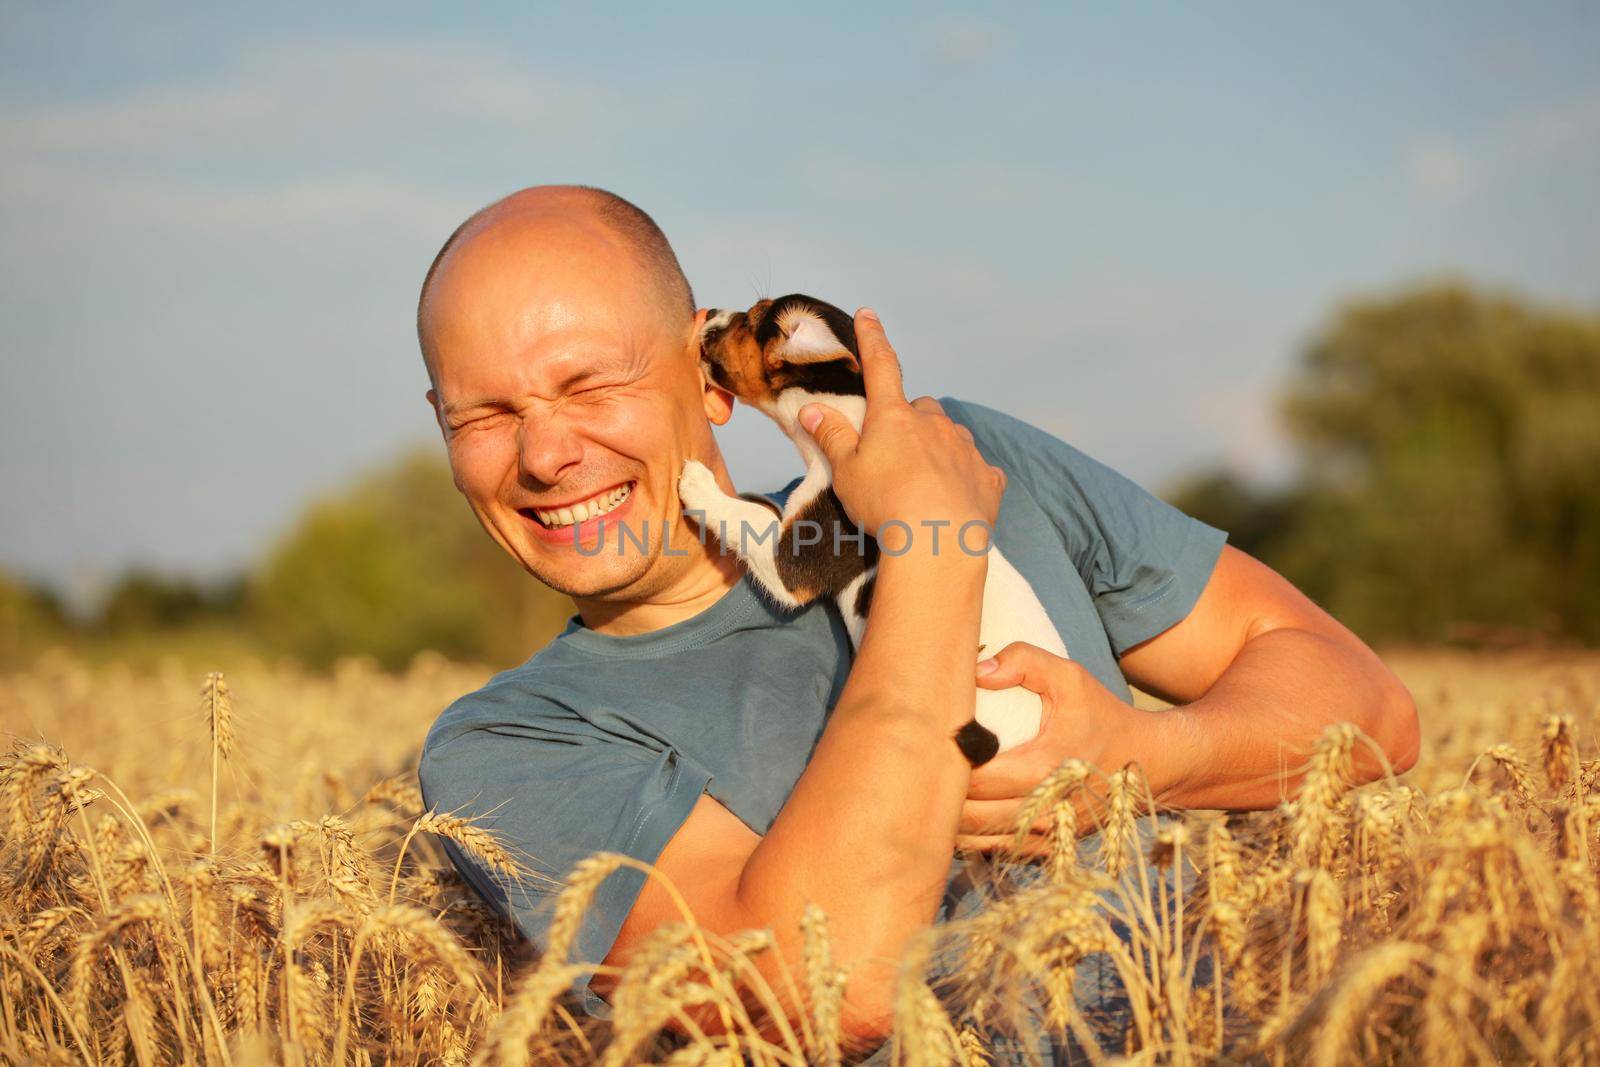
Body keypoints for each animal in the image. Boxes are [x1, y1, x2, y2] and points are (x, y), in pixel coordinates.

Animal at [678, 295, 1075, 771]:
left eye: (751, 320)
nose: (709, 312)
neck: (847, 419)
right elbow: (764, 510)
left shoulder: (794, 563)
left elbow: (744, 518)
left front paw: (698, 484)